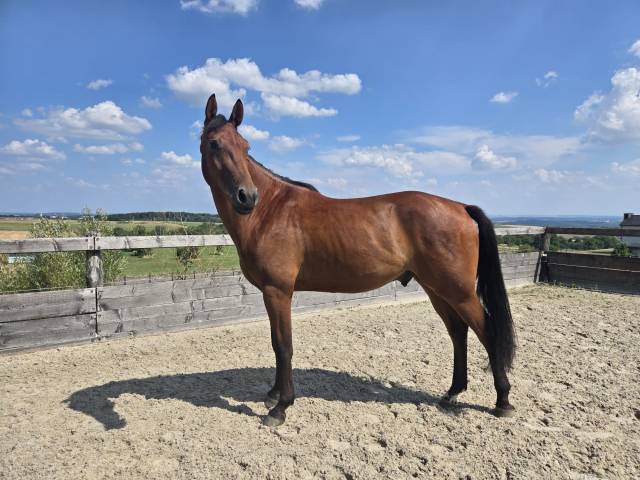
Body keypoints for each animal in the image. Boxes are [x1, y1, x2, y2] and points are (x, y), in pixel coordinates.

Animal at [200, 93, 516, 427]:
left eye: (246, 147)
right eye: (214, 143)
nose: (246, 197)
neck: (270, 211)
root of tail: (461, 207)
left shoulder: (278, 291)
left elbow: (284, 346)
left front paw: (281, 406)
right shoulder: (271, 293)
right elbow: (277, 344)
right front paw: (274, 394)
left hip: (459, 292)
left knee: (487, 332)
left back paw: (503, 401)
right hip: (437, 289)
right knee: (458, 332)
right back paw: (453, 392)